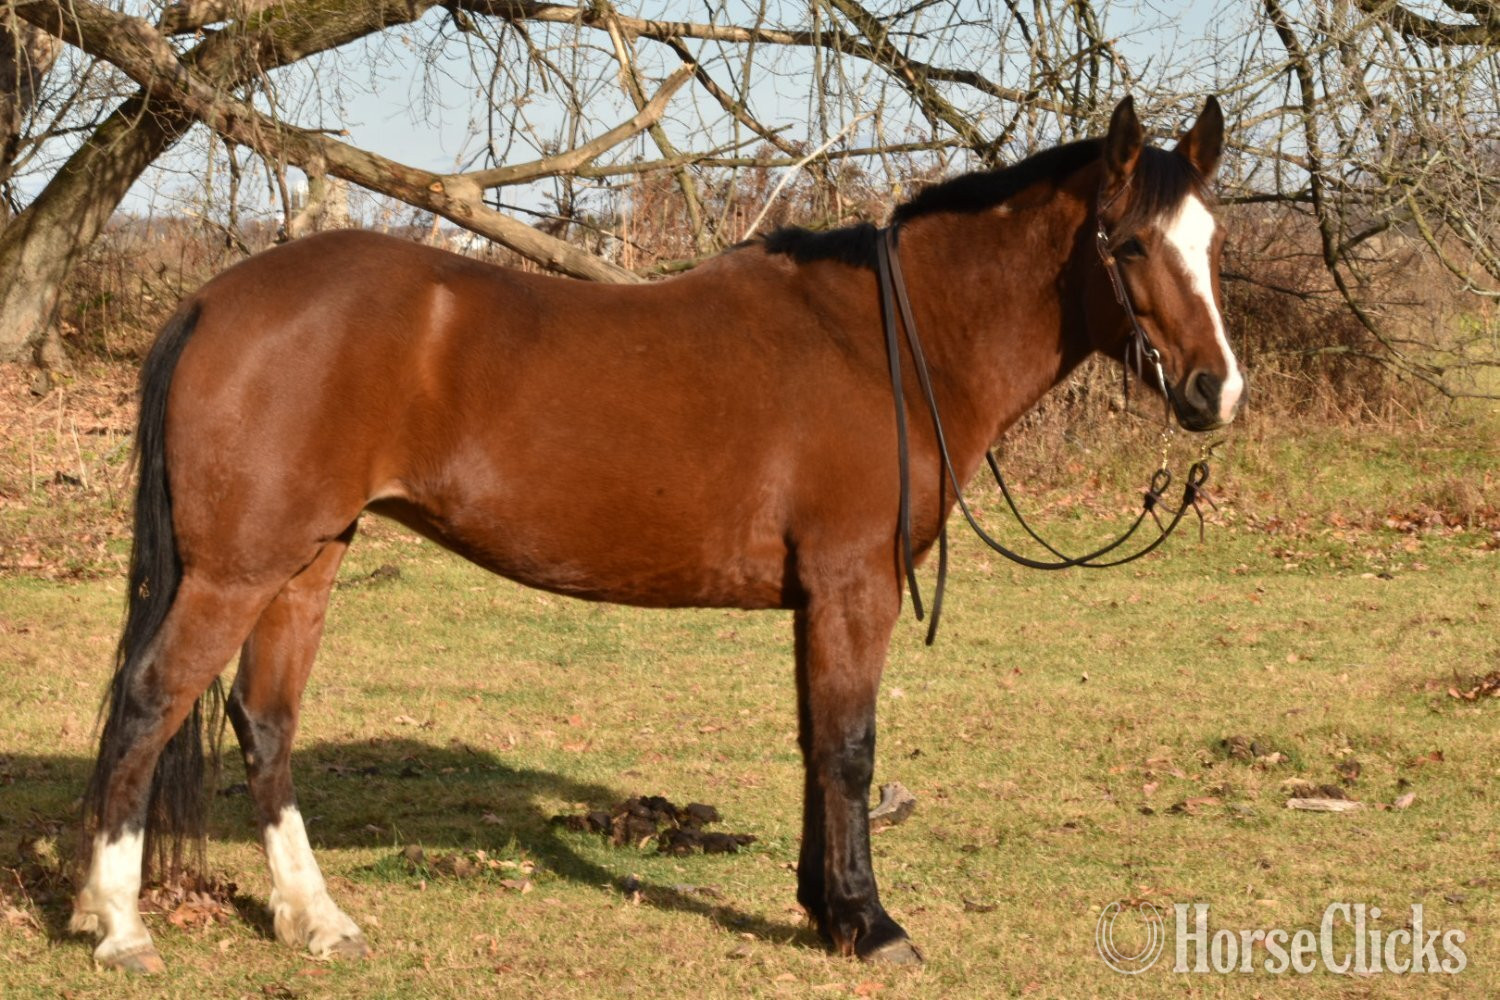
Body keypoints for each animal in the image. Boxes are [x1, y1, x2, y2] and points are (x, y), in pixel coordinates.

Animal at [70, 95, 1242, 973]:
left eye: (1215, 242)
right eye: (1130, 241)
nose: (1214, 391)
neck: (885, 344)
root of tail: (215, 301)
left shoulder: (819, 599)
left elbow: (815, 742)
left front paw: (823, 908)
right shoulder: (853, 585)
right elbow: (851, 748)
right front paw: (870, 924)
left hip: (307, 563)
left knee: (265, 722)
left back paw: (314, 920)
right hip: (237, 570)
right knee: (148, 703)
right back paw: (122, 928)